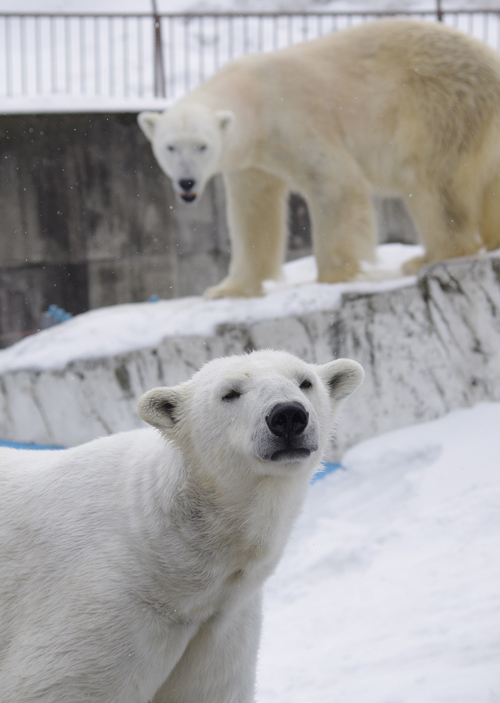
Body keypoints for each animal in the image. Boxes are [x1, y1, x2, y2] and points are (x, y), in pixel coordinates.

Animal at [138, 16, 500, 296]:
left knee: (433, 181)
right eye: (170, 147)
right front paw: (226, 289)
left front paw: (333, 274)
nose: (187, 182)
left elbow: (334, 183)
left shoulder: (294, 119)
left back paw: (428, 256)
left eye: (202, 146)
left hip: (440, 106)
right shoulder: (252, 160)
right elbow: (252, 211)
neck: (255, 100)